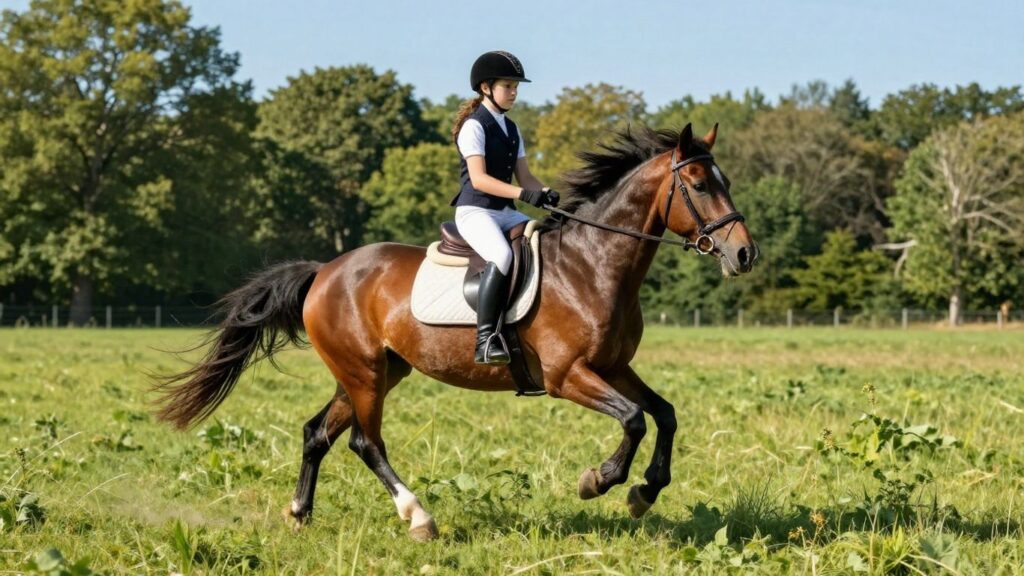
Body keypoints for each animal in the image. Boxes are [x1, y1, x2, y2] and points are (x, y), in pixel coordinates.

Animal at [154, 123, 758, 541]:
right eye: (699, 184)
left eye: (725, 181)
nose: (744, 254)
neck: (594, 265)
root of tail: (325, 271)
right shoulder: (567, 376)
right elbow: (633, 419)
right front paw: (601, 480)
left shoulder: (613, 367)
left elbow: (665, 414)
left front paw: (644, 492)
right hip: (365, 373)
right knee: (364, 442)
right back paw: (418, 517)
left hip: (375, 371)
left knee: (316, 434)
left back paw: (301, 514)